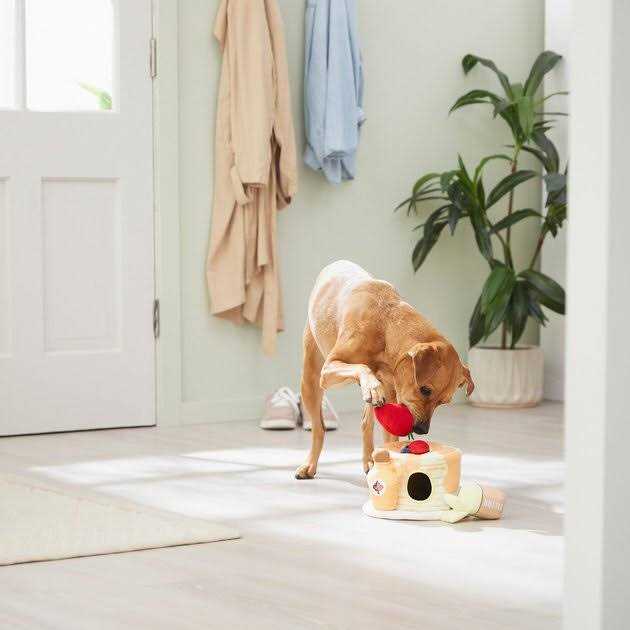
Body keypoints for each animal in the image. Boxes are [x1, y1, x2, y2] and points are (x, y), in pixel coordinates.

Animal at [295, 260, 474, 479]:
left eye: (443, 402)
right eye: (425, 390)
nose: (422, 429)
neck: (385, 327)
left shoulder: (392, 395)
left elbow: (390, 438)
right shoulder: (329, 369)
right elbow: (362, 367)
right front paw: (372, 385)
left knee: (365, 422)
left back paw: (369, 460)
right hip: (311, 380)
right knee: (319, 428)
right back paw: (309, 465)